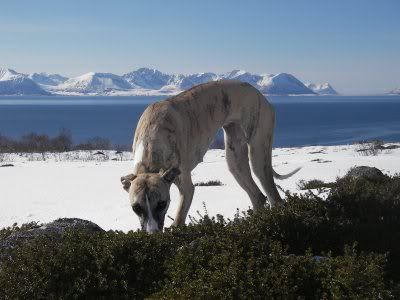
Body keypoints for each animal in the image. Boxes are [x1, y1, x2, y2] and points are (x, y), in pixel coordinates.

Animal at [121, 81, 300, 233]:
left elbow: (178, 220)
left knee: (275, 198)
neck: (151, 140)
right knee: (258, 197)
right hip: (235, 161)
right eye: (136, 208)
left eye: (161, 204)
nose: (152, 234)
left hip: (258, 153)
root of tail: (260, 94)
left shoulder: (186, 187)